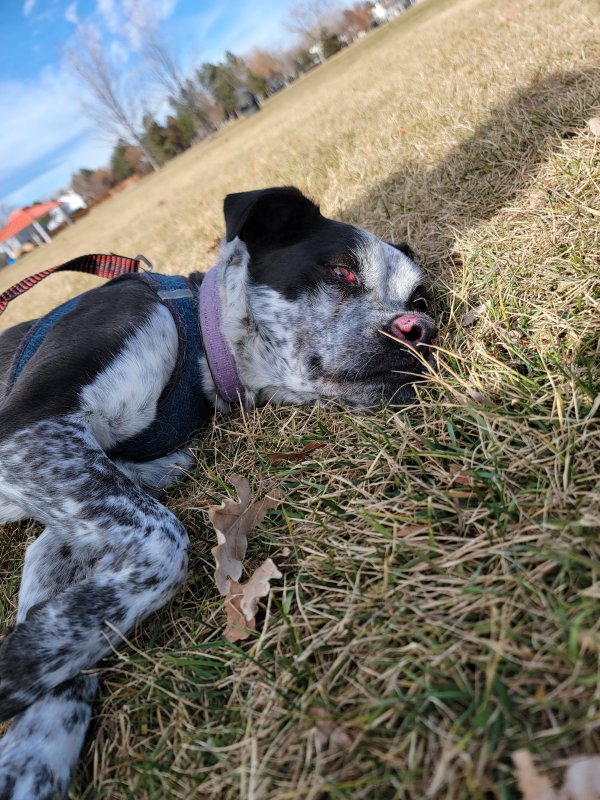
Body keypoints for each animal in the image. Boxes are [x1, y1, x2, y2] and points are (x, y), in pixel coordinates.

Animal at [0, 188, 436, 800]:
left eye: (420, 298)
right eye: (341, 270)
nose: (423, 328)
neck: (201, 345)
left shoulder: (63, 517)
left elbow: (75, 646)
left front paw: (31, 747)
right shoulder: (28, 430)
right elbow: (168, 542)